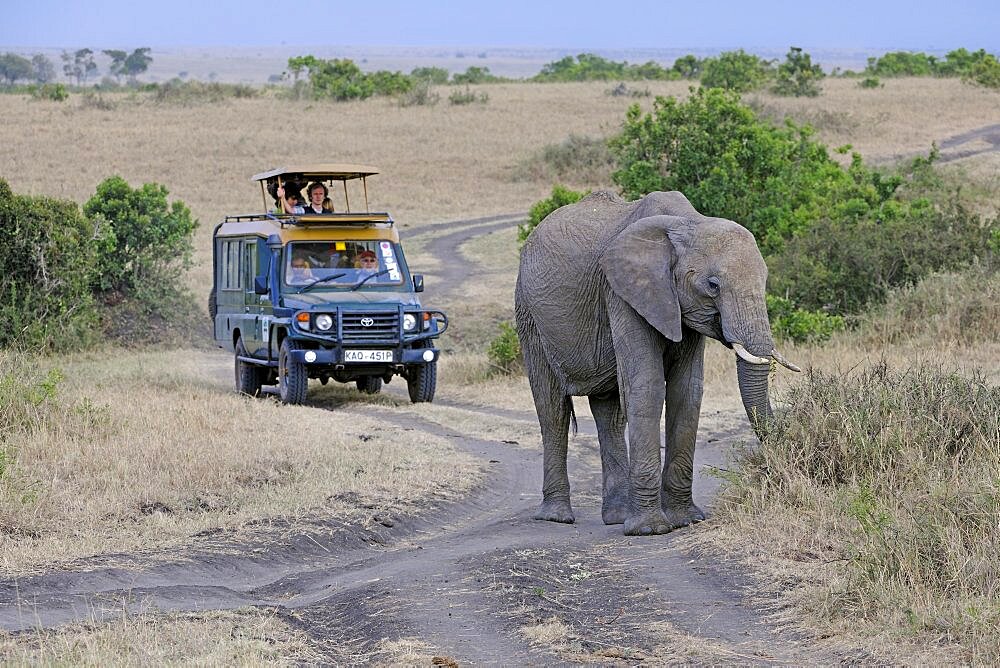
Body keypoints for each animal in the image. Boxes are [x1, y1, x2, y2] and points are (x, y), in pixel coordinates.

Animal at [516, 190, 796, 536]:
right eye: (713, 285)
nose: (772, 469)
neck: (689, 222)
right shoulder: (623, 292)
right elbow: (647, 387)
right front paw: (649, 530)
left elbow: (687, 391)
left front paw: (685, 520)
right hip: (528, 314)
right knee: (552, 409)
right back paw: (557, 517)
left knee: (609, 412)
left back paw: (617, 516)